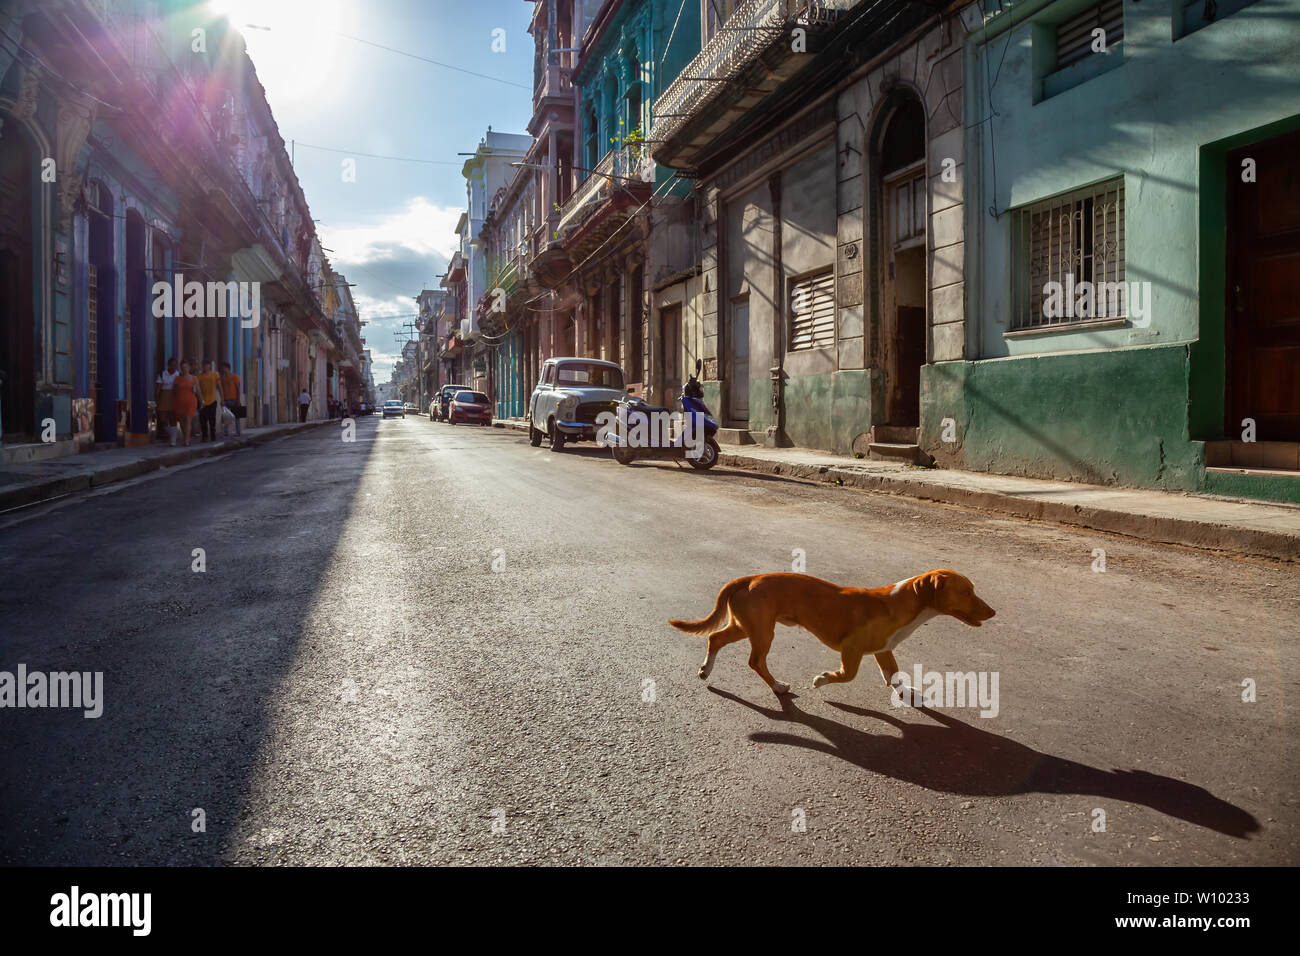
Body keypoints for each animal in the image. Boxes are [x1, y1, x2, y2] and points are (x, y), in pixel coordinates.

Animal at [670, 572, 993, 697]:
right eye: (966, 592)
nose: (993, 612)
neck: (899, 603)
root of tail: (749, 578)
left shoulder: (884, 650)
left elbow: (894, 675)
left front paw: (907, 693)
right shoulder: (851, 650)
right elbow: (846, 676)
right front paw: (821, 680)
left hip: (745, 626)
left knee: (715, 638)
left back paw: (705, 670)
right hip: (763, 631)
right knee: (755, 662)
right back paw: (777, 686)